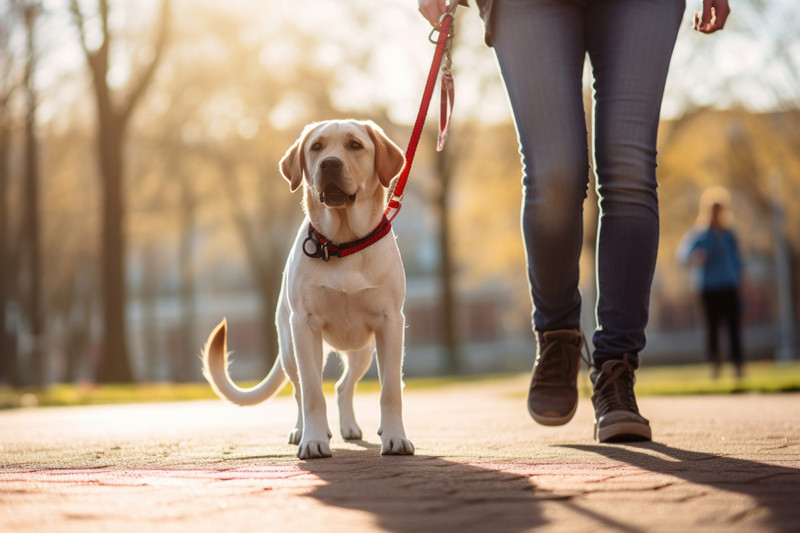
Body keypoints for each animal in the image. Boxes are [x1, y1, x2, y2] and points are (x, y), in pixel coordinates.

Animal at [200, 119, 416, 458]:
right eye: (316, 147)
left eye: (355, 145)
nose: (329, 163)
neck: (343, 244)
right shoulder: (304, 326)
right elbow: (313, 392)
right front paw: (314, 440)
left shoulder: (391, 323)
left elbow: (391, 389)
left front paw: (395, 437)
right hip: (290, 348)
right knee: (300, 390)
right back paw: (303, 430)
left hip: (363, 351)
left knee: (343, 386)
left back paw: (351, 428)